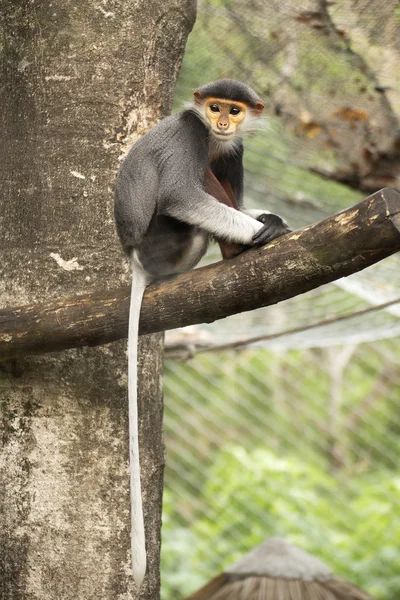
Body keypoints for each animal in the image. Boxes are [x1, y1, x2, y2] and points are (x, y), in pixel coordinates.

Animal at [114, 78, 290, 584]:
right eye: (214, 108)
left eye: (233, 110)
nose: (222, 123)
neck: (212, 137)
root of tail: (135, 259)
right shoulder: (191, 131)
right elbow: (181, 197)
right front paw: (272, 230)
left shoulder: (233, 143)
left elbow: (235, 169)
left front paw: (269, 219)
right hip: (166, 242)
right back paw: (242, 249)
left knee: (225, 165)